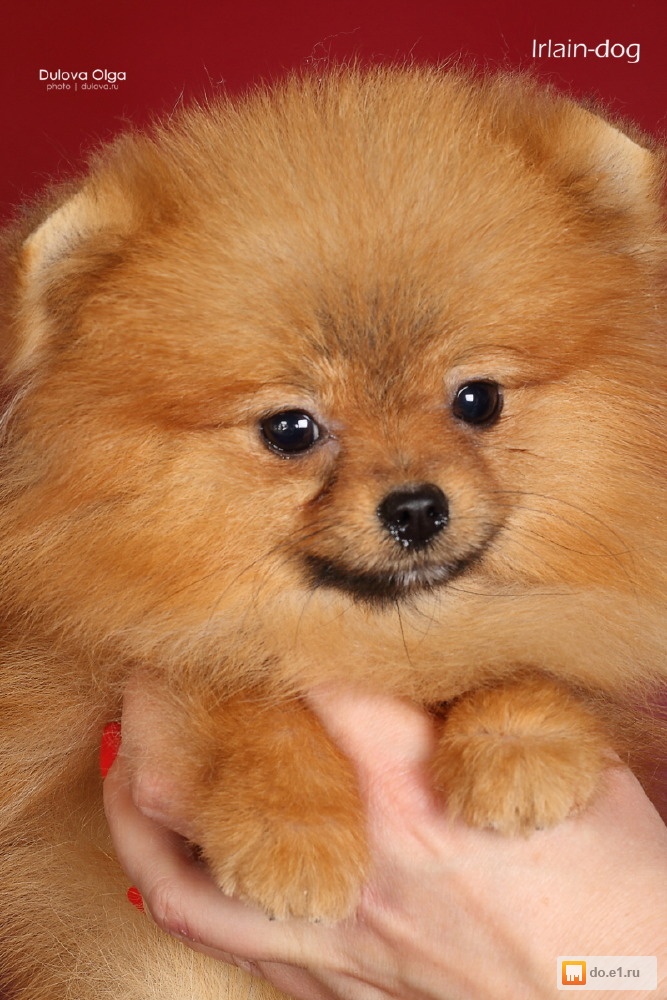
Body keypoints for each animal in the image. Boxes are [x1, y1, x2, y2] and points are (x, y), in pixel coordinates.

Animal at [0, 64, 665, 999]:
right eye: (291, 429)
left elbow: (537, 656)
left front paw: (517, 746)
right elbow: (236, 690)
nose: (416, 507)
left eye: (478, 400)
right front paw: (290, 831)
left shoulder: (560, 622)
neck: (370, 636)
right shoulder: (114, 674)